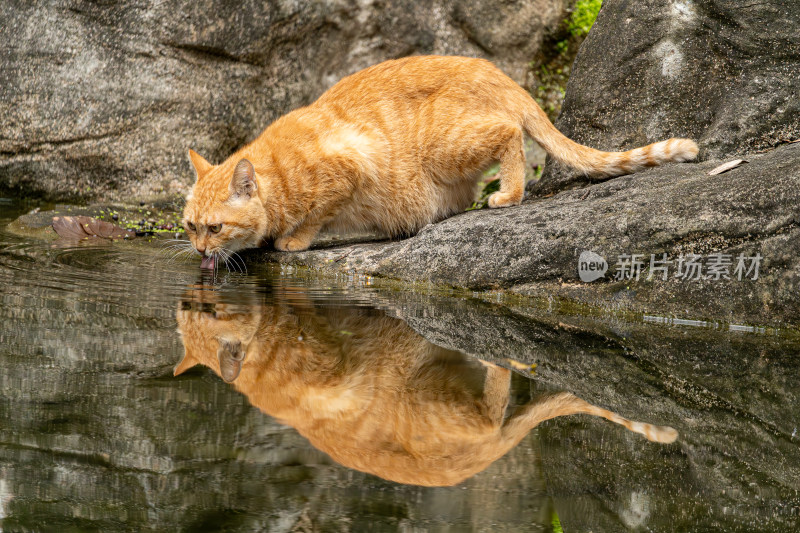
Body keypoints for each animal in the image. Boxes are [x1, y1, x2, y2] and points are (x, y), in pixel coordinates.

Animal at [184, 55, 696, 264]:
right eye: (190, 226)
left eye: (215, 228)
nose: (200, 252)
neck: (279, 171)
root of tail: (499, 74)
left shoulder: (350, 169)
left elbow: (315, 216)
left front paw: (292, 239)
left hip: (446, 144)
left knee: (511, 136)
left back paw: (509, 194)